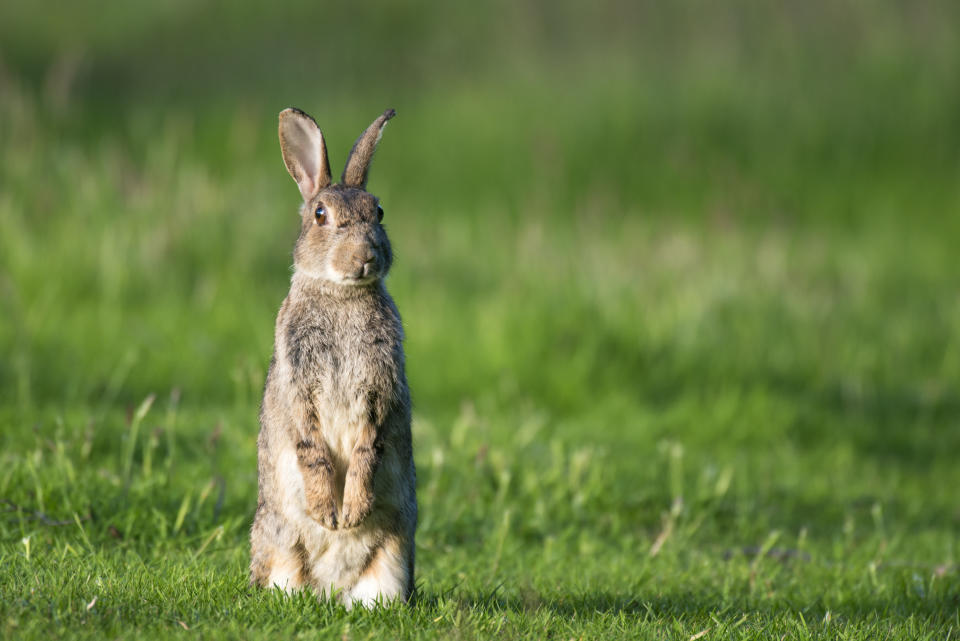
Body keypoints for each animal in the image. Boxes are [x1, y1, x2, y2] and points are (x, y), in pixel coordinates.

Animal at [249, 107, 414, 608]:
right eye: (321, 215)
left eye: (378, 212)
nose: (365, 255)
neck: (341, 294)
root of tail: (332, 589)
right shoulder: (299, 385)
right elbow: (311, 448)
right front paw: (328, 513)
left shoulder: (379, 389)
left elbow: (368, 448)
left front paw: (353, 511)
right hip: (279, 546)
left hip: (394, 555)